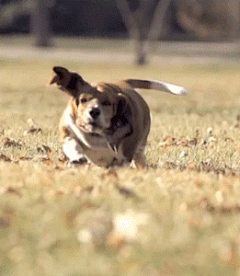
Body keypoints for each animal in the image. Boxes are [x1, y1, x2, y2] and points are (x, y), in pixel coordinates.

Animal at [49, 67, 188, 168]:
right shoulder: (68, 131)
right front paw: (77, 158)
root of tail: (123, 82)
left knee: (140, 156)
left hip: (141, 144)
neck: (96, 134)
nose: (94, 111)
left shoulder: (125, 152)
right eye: (83, 100)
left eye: (107, 103)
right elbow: (73, 144)